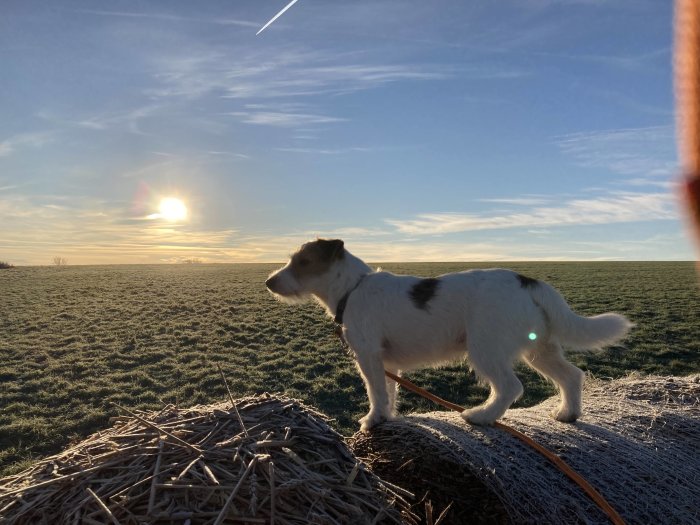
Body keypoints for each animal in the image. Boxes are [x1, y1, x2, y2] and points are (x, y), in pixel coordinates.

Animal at [266, 237, 632, 430]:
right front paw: (388, 417)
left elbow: (376, 392)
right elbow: (389, 392)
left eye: (303, 261)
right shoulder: (387, 363)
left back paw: (481, 416)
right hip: (539, 349)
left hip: (486, 349)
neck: (352, 289)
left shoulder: (367, 356)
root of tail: (529, 282)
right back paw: (568, 414)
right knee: (572, 375)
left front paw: (373, 420)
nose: (268, 282)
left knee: (510, 387)